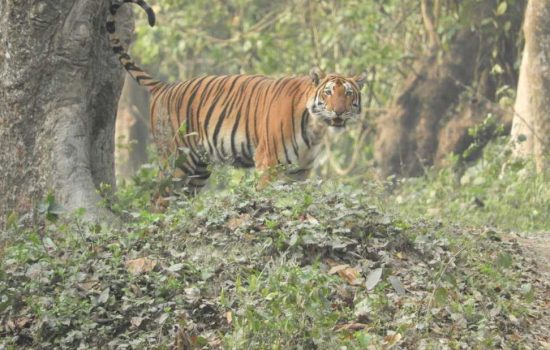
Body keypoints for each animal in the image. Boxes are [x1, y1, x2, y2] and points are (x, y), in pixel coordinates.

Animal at [107, 0, 366, 194]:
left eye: (348, 94)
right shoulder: (268, 162)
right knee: (159, 197)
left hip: (198, 168)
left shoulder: (301, 171)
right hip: (177, 159)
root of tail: (165, 86)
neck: (315, 129)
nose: (339, 111)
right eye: (328, 92)